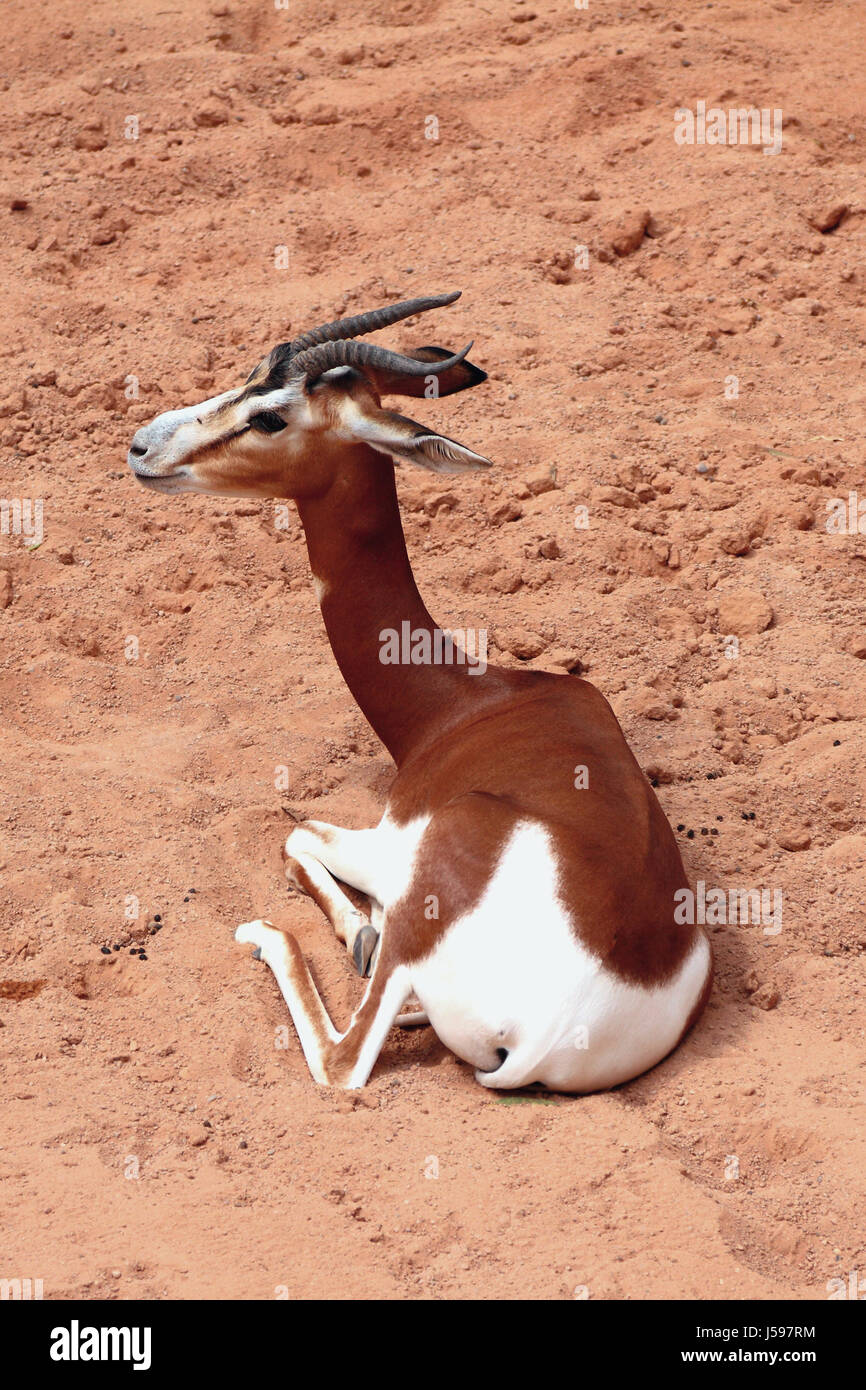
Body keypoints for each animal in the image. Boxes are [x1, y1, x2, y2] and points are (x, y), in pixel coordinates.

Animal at [127, 293, 711, 1089]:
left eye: (272, 416)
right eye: (249, 374)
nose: (141, 446)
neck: (462, 703)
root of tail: (550, 1034)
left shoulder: (384, 842)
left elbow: (295, 832)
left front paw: (354, 931)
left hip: (412, 915)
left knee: (342, 1059)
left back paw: (276, 935)